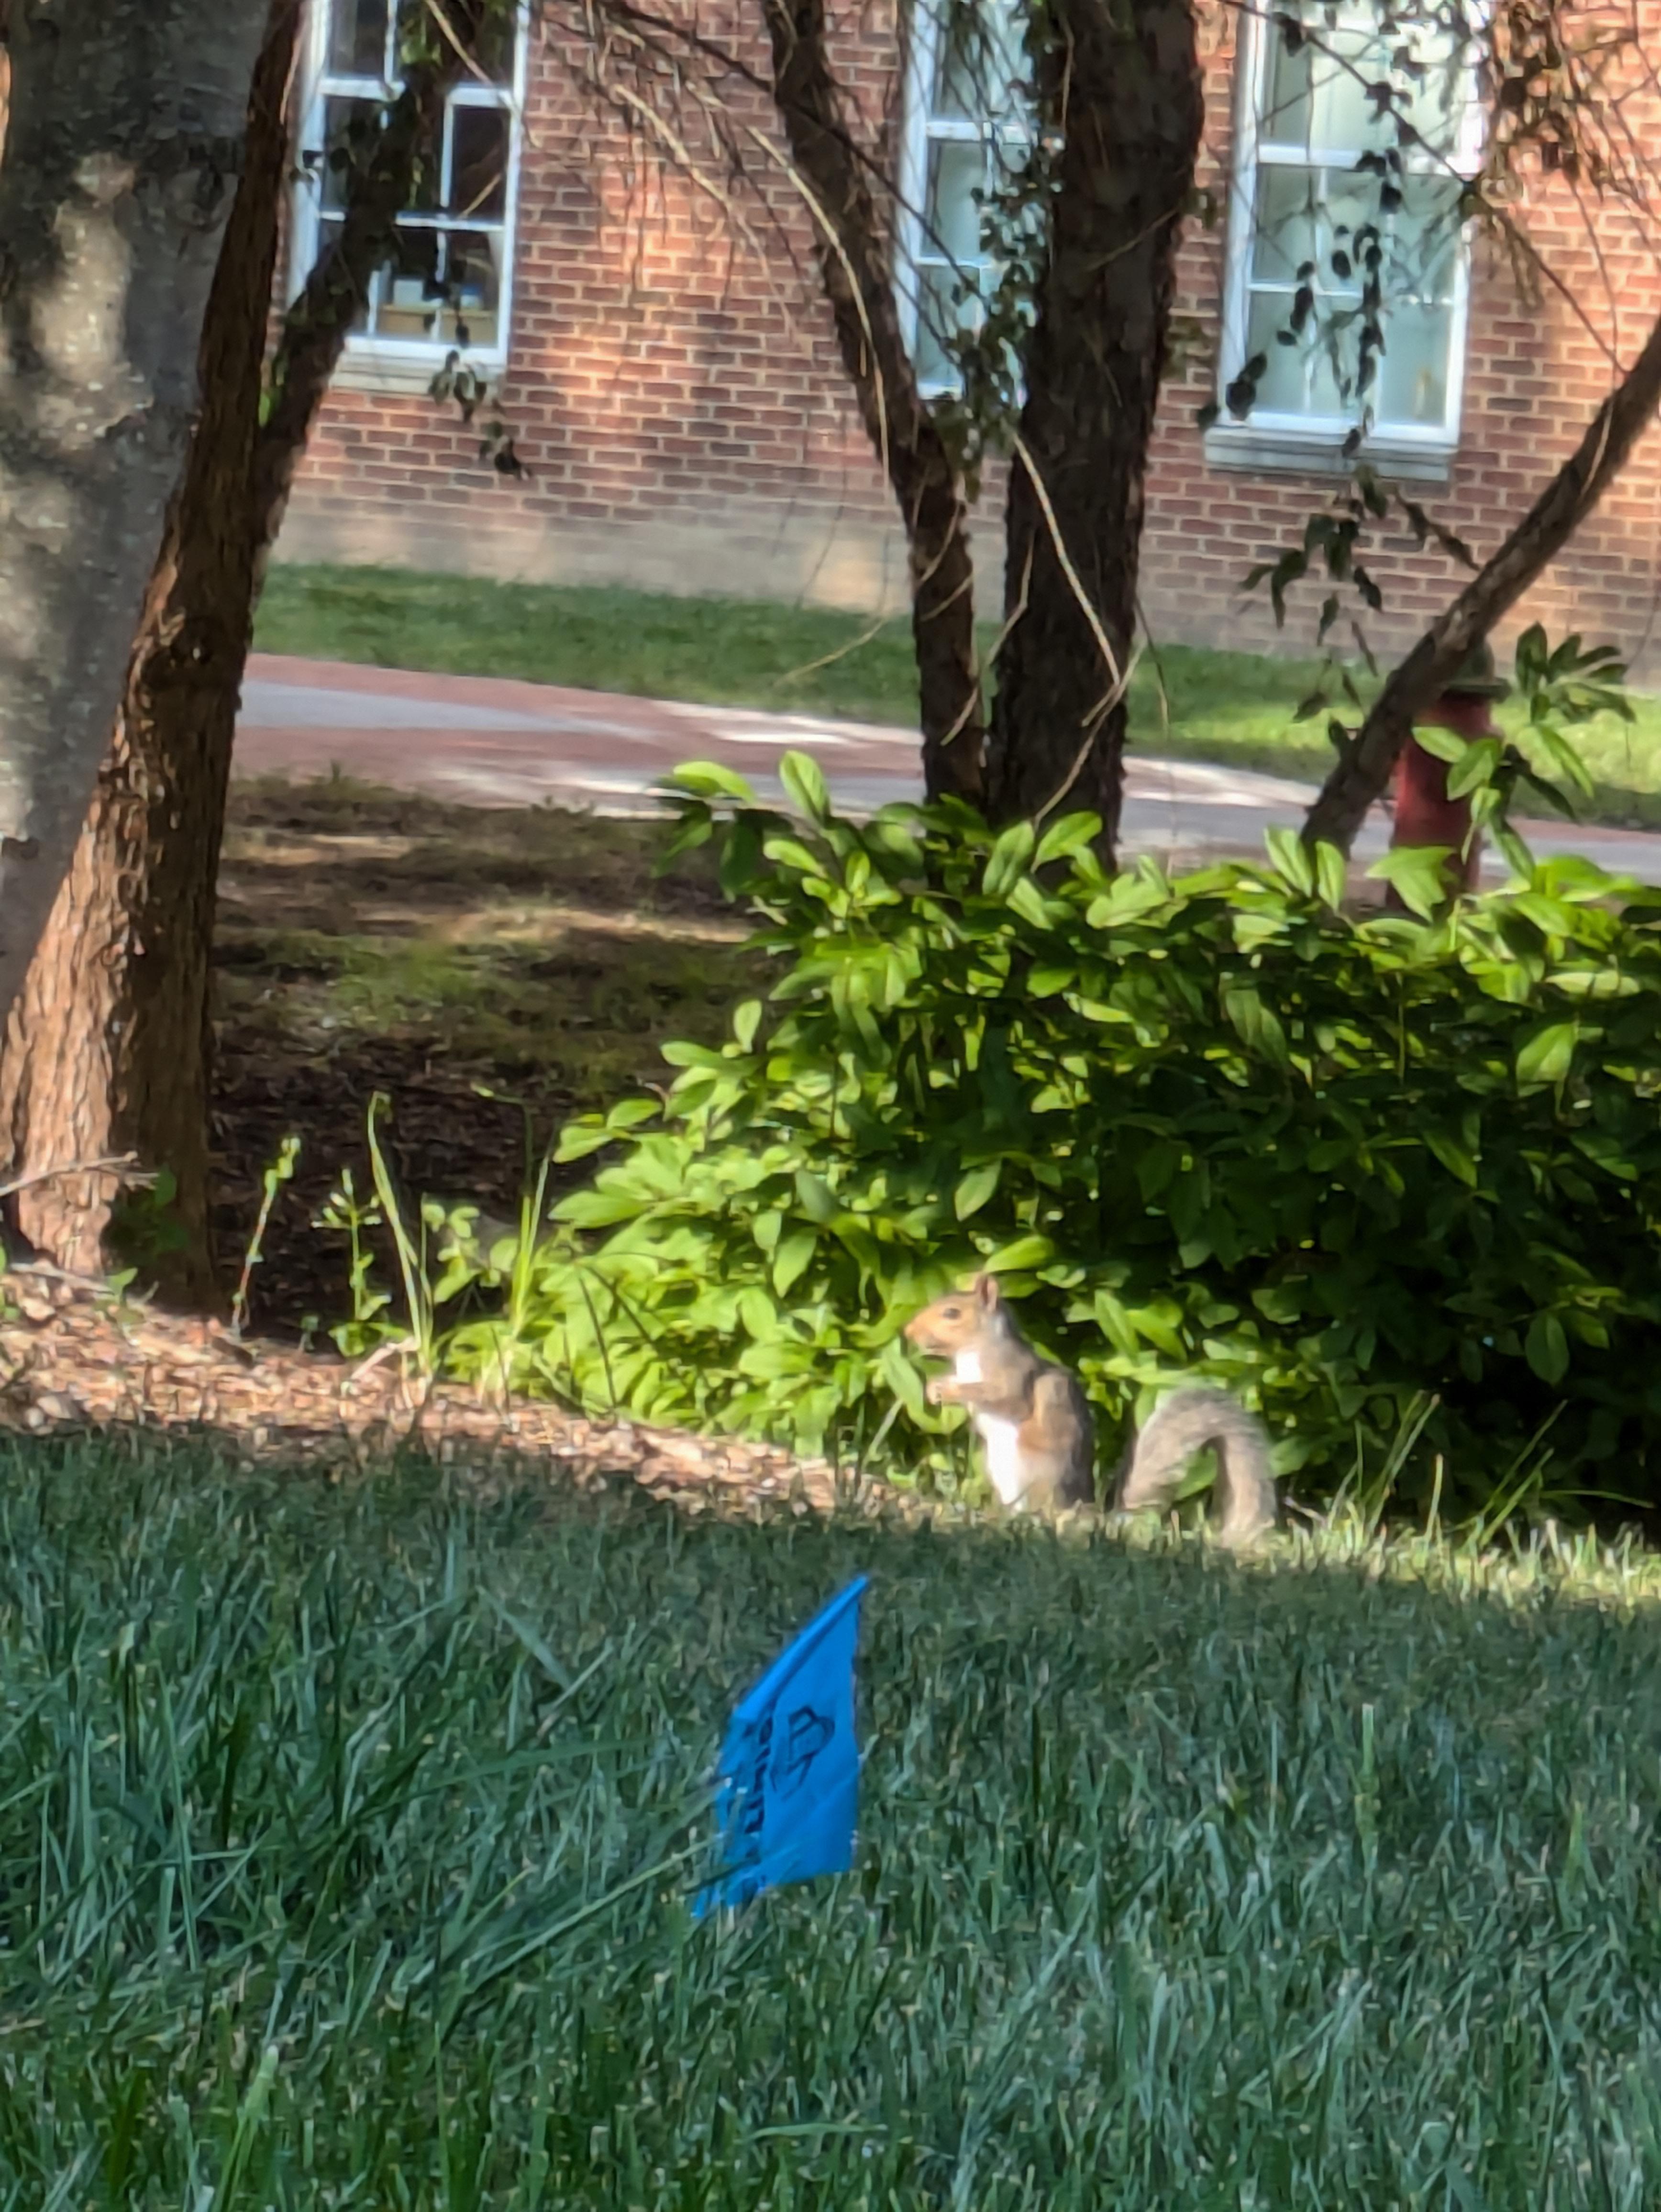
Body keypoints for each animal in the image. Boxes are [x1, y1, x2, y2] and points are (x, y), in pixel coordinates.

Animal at [902, 1274, 1283, 1548]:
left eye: (952, 1313)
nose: (908, 1331)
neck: (974, 1350)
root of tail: (1086, 1511)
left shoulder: (1013, 1374)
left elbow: (1005, 1398)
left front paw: (949, 1390)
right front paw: (935, 1387)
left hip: (1035, 1469)